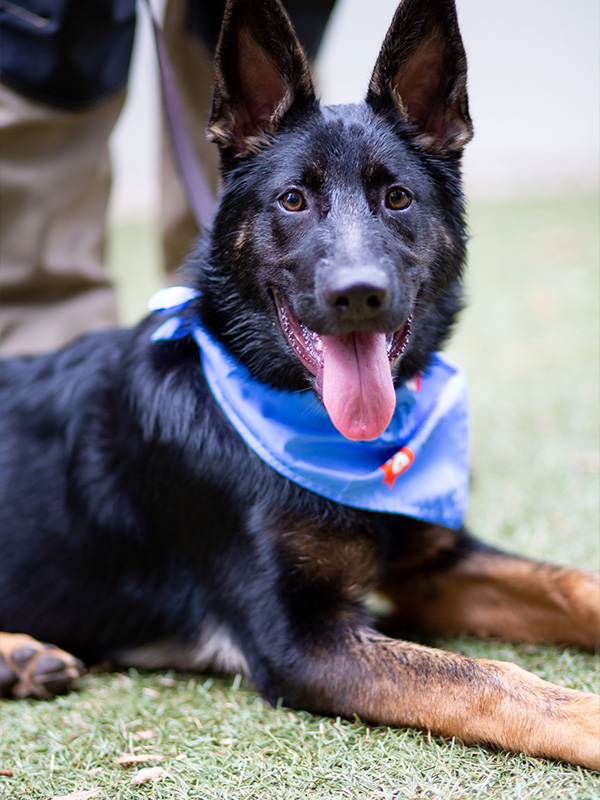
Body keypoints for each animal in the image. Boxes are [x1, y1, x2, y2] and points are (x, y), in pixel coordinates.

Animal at [1, 0, 600, 768]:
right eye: (292, 200)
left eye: (397, 198)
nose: (359, 295)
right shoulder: (302, 643)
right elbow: (485, 679)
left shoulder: (436, 567)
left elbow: (573, 585)